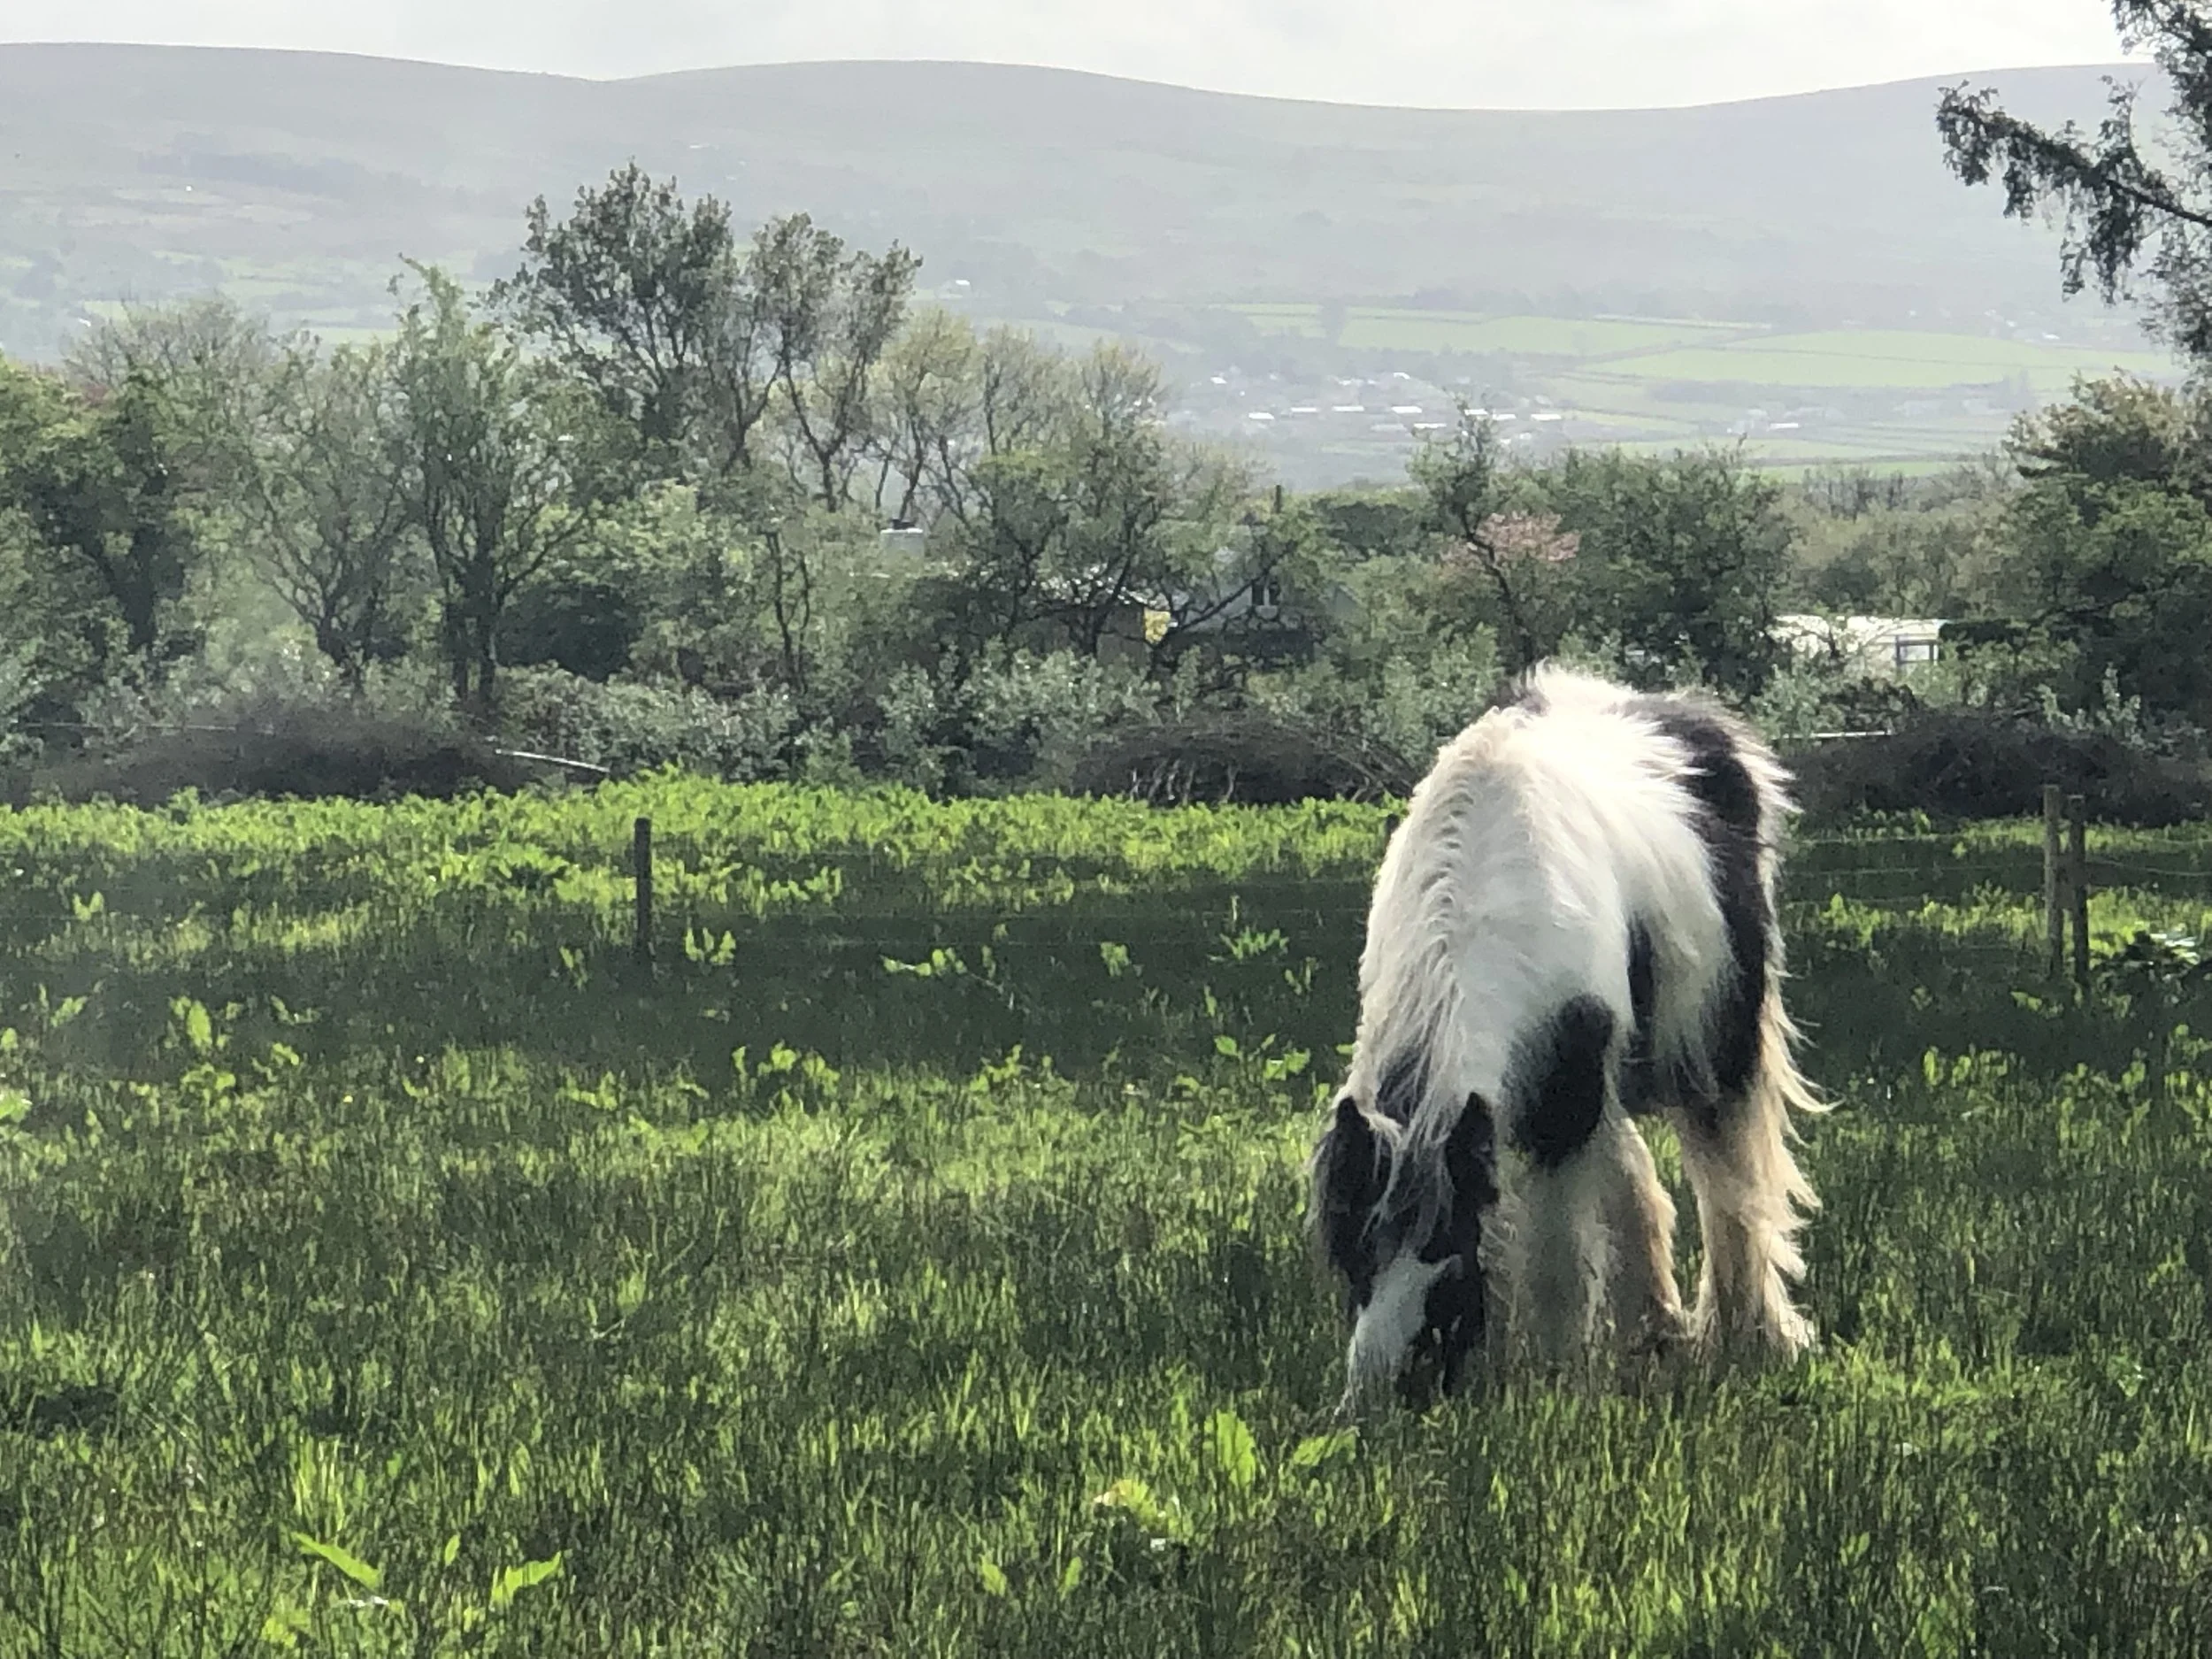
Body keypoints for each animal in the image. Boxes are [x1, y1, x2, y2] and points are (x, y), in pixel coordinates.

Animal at [1308, 664, 1823, 1413]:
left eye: (1449, 1257)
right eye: (1353, 1255)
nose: (1374, 1404)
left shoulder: (1567, 1107)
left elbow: (1559, 1253)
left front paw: (1556, 1383)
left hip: (1717, 1054)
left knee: (1732, 1187)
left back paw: (1747, 1331)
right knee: (1641, 1180)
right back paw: (1658, 1330)